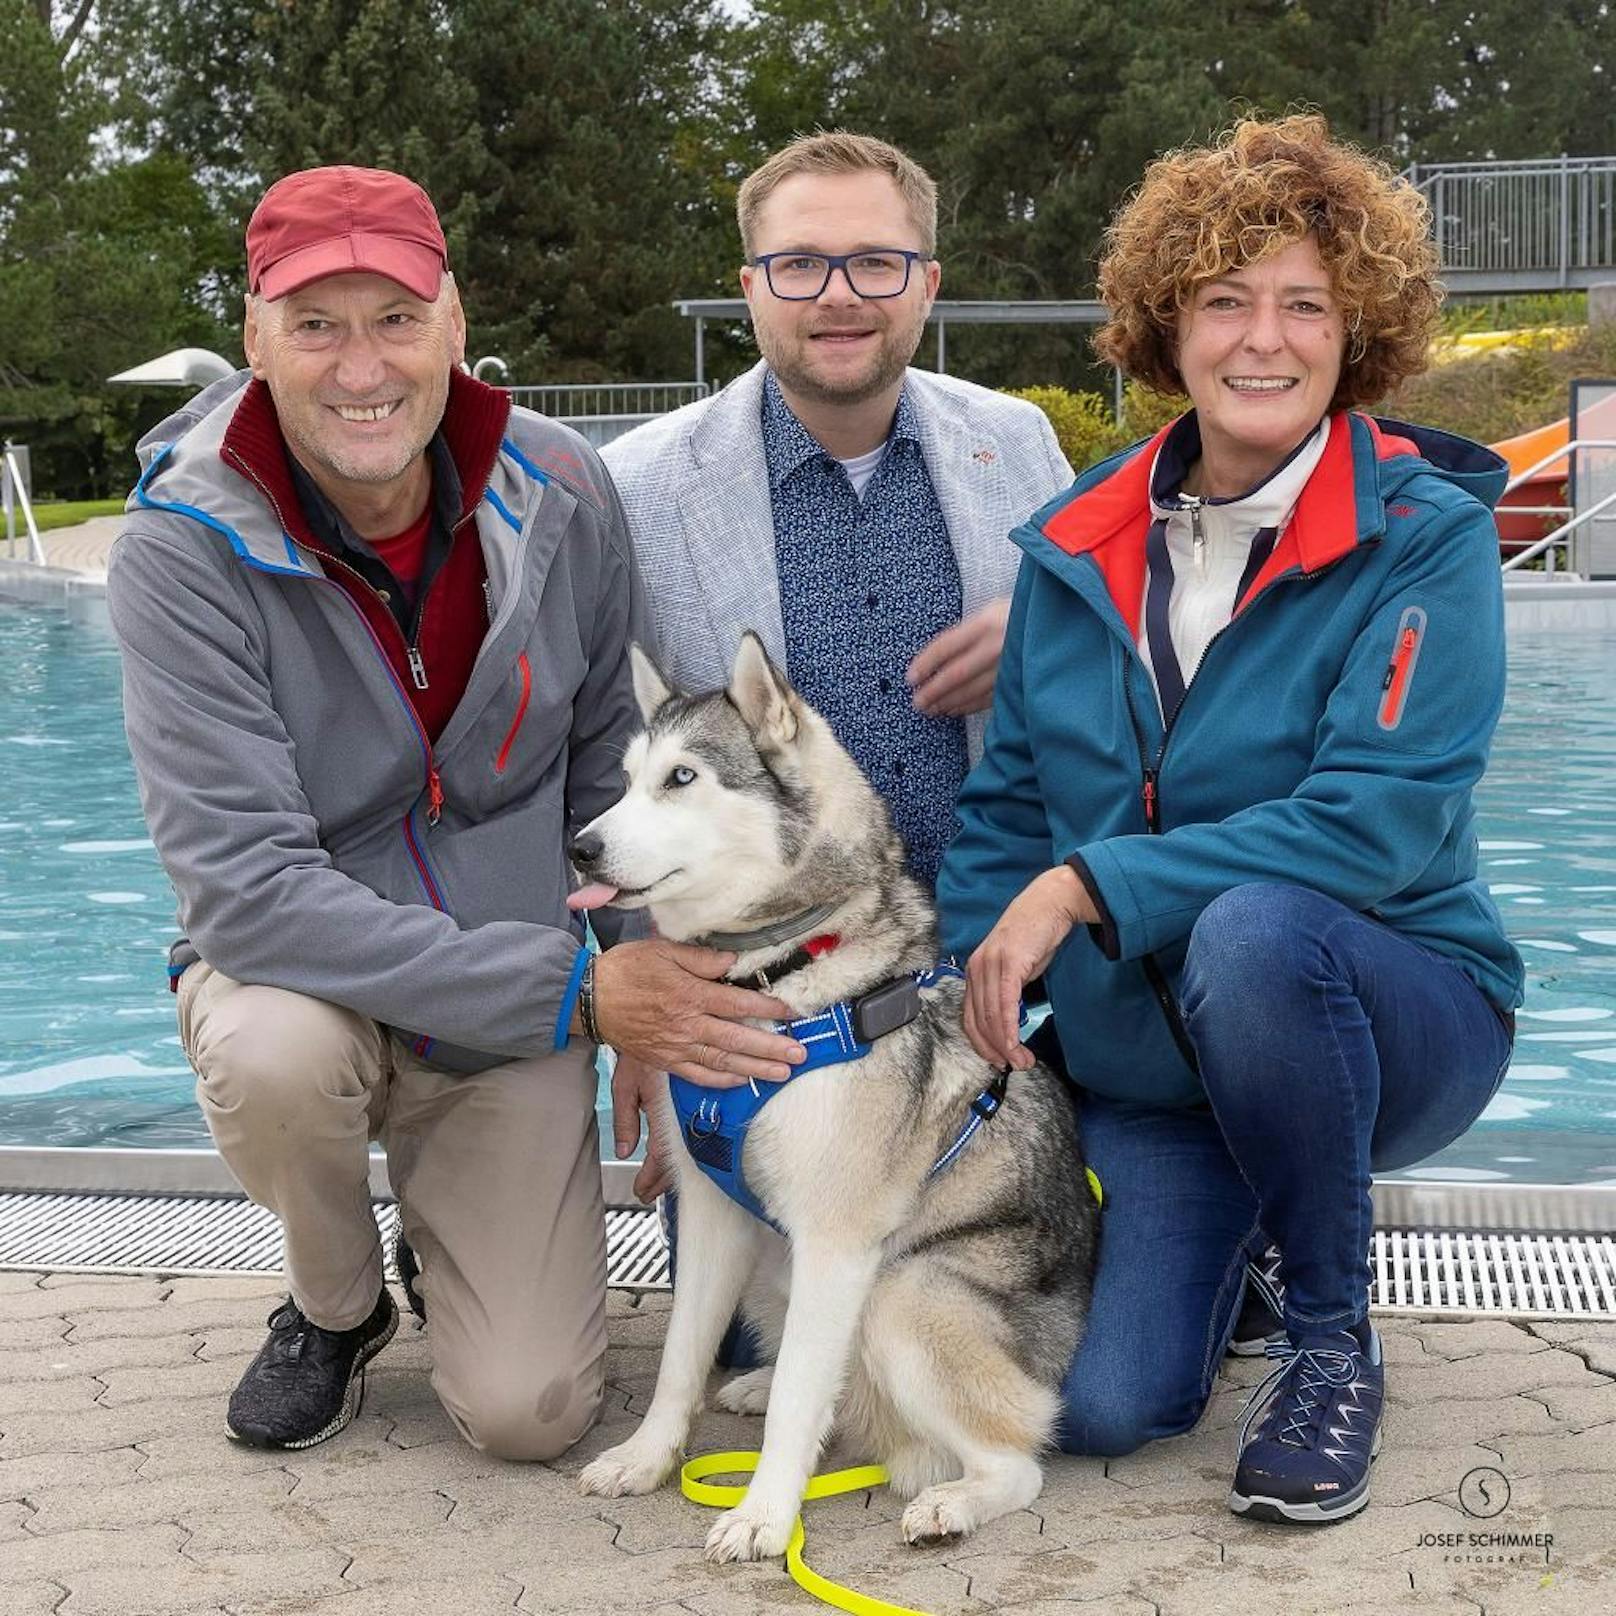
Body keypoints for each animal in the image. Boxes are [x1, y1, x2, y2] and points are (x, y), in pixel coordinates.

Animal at [572, 636, 1098, 1557]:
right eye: (629, 779)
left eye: (682, 778)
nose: (581, 847)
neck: (779, 973)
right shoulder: (713, 1211)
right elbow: (679, 1360)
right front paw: (645, 1457)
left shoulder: (836, 1241)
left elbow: (797, 1406)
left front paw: (764, 1515)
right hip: (776, 1266)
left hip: (898, 1297)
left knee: (1016, 1459)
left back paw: (952, 1503)